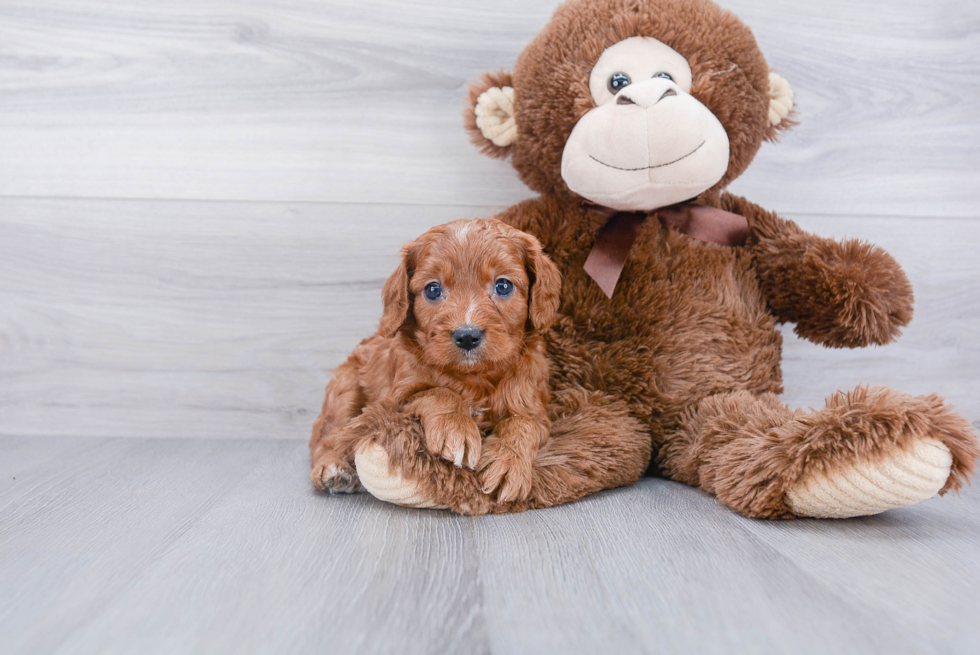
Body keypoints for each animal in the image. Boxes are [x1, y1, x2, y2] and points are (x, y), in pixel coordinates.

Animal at [310, 219, 564, 502]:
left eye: (503, 286)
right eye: (433, 289)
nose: (467, 336)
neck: (474, 377)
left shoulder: (534, 406)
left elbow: (524, 424)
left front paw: (508, 461)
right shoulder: (395, 399)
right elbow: (438, 392)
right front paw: (456, 429)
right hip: (345, 390)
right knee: (329, 436)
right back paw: (333, 469)